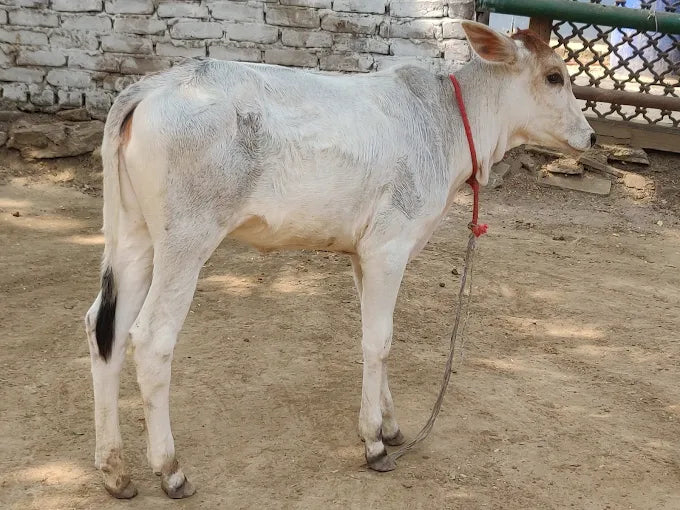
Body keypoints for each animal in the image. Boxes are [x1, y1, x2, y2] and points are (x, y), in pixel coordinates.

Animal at [84, 21, 594, 498]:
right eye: (554, 77)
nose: (589, 136)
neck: (445, 121)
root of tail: (153, 86)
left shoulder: (363, 255)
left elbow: (378, 336)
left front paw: (391, 426)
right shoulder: (388, 248)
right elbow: (379, 342)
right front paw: (373, 443)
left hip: (135, 239)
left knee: (103, 328)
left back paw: (114, 470)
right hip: (186, 242)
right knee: (151, 339)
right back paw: (170, 470)